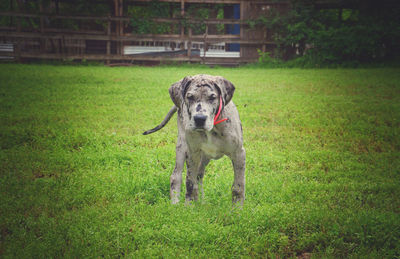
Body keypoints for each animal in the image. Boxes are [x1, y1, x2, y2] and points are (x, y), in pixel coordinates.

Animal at [142, 74, 245, 205]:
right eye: (190, 97)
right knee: (176, 177)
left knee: (199, 177)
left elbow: (238, 187)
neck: (212, 129)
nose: (199, 119)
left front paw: (237, 208)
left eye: (212, 97)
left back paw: (201, 202)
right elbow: (189, 183)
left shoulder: (239, 153)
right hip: (182, 147)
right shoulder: (192, 153)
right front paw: (189, 207)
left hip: (204, 157)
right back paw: (175, 203)